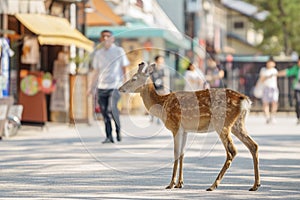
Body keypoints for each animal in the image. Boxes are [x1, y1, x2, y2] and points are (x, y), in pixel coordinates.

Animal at [118, 62, 260, 191]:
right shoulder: (184, 130)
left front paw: (171, 184)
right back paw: (255, 185)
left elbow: (176, 153)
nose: (120, 88)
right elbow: (182, 153)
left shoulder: (175, 126)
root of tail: (245, 100)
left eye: (134, 78)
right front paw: (180, 183)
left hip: (222, 123)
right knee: (253, 145)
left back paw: (213, 185)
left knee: (232, 151)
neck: (162, 105)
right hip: (237, 124)